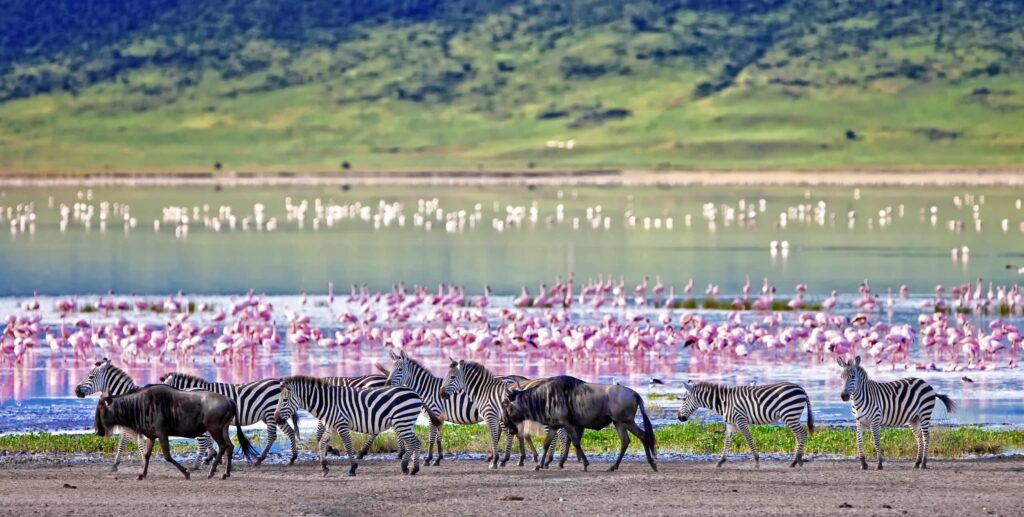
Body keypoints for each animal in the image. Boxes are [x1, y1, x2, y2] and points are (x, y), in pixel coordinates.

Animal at [74, 358, 211, 471]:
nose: (76, 391)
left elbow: (128, 443)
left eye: (91, 376)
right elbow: (128, 443)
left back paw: (197, 465)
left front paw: (137, 463)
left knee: (203, 440)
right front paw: (120, 464)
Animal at [160, 372, 300, 465]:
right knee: (290, 431)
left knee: (272, 436)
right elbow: (210, 440)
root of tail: (279, 382)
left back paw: (260, 458)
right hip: (274, 415)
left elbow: (209, 439)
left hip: (271, 413)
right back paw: (293, 457)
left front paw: (213, 457)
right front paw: (213, 456)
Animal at [273, 375, 439, 476]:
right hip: (404, 423)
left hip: (403, 421)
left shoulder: (342, 425)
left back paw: (412, 468)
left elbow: (347, 446)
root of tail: (415, 393)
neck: (328, 402)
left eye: (285, 400)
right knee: (414, 442)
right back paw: (408, 467)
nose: (276, 418)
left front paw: (352, 468)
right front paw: (324, 467)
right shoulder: (332, 428)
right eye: (279, 400)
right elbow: (321, 443)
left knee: (415, 442)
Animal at [677, 380, 814, 468]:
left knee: (802, 433)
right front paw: (721, 461)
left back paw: (796, 461)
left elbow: (749, 439)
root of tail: (801, 389)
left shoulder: (740, 420)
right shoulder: (730, 424)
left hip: (789, 414)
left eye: (683, 399)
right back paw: (796, 461)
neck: (724, 402)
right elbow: (727, 441)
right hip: (792, 415)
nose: (679, 417)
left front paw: (757, 461)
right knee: (798, 435)